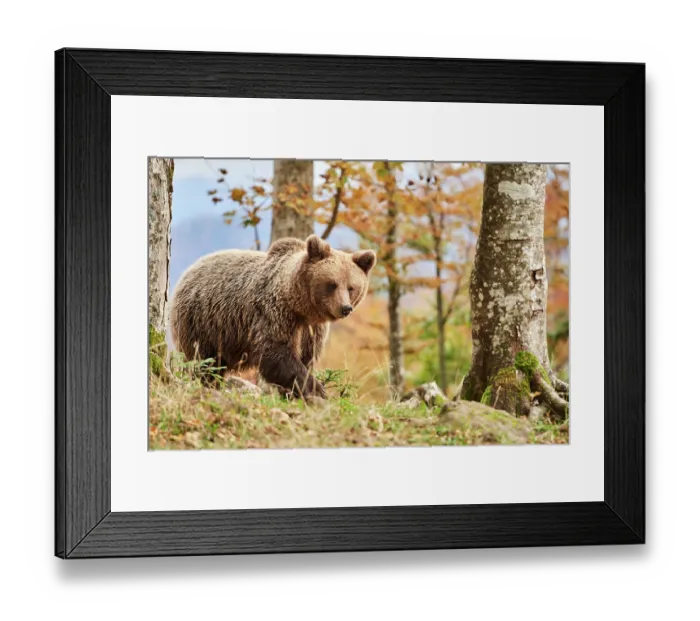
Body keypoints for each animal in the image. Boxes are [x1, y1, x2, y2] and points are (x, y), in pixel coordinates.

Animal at [170, 234, 377, 399]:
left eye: (351, 287)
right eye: (332, 284)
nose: (345, 308)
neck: (300, 306)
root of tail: (190, 269)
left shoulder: (313, 329)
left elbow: (306, 356)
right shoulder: (273, 313)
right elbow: (275, 352)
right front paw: (316, 388)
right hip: (203, 322)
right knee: (203, 361)